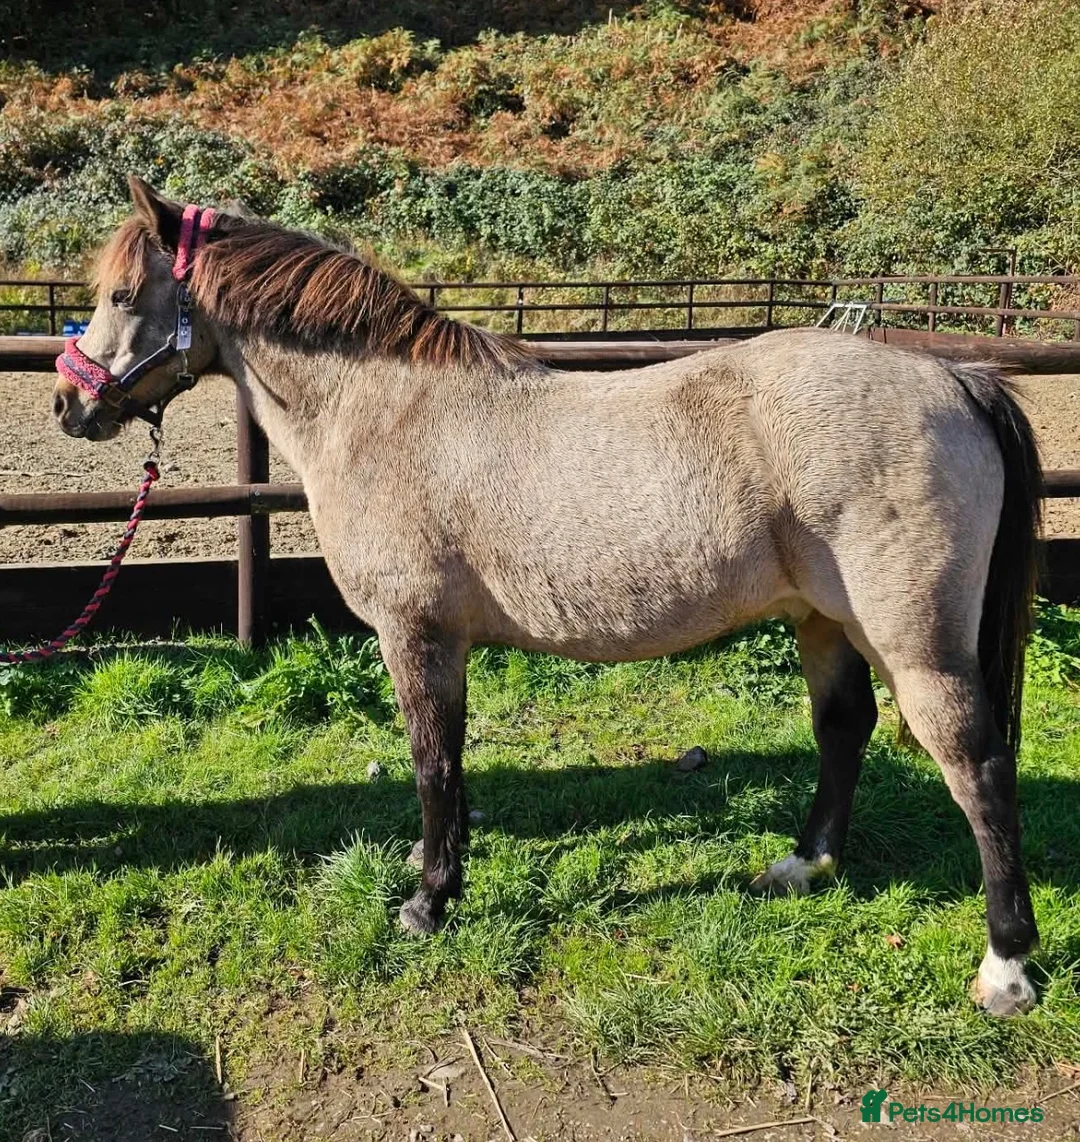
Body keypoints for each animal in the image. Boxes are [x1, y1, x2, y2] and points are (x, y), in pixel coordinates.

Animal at [53, 176, 1044, 1017]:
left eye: (121, 296)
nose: (70, 404)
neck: (383, 413)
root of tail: (954, 378)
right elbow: (449, 766)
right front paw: (439, 868)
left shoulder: (417, 635)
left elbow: (432, 763)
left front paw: (429, 901)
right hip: (823, 621)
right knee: (845, 728)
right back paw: (805, 866)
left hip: (917, 644)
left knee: (979, 769)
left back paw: (1006, 966)